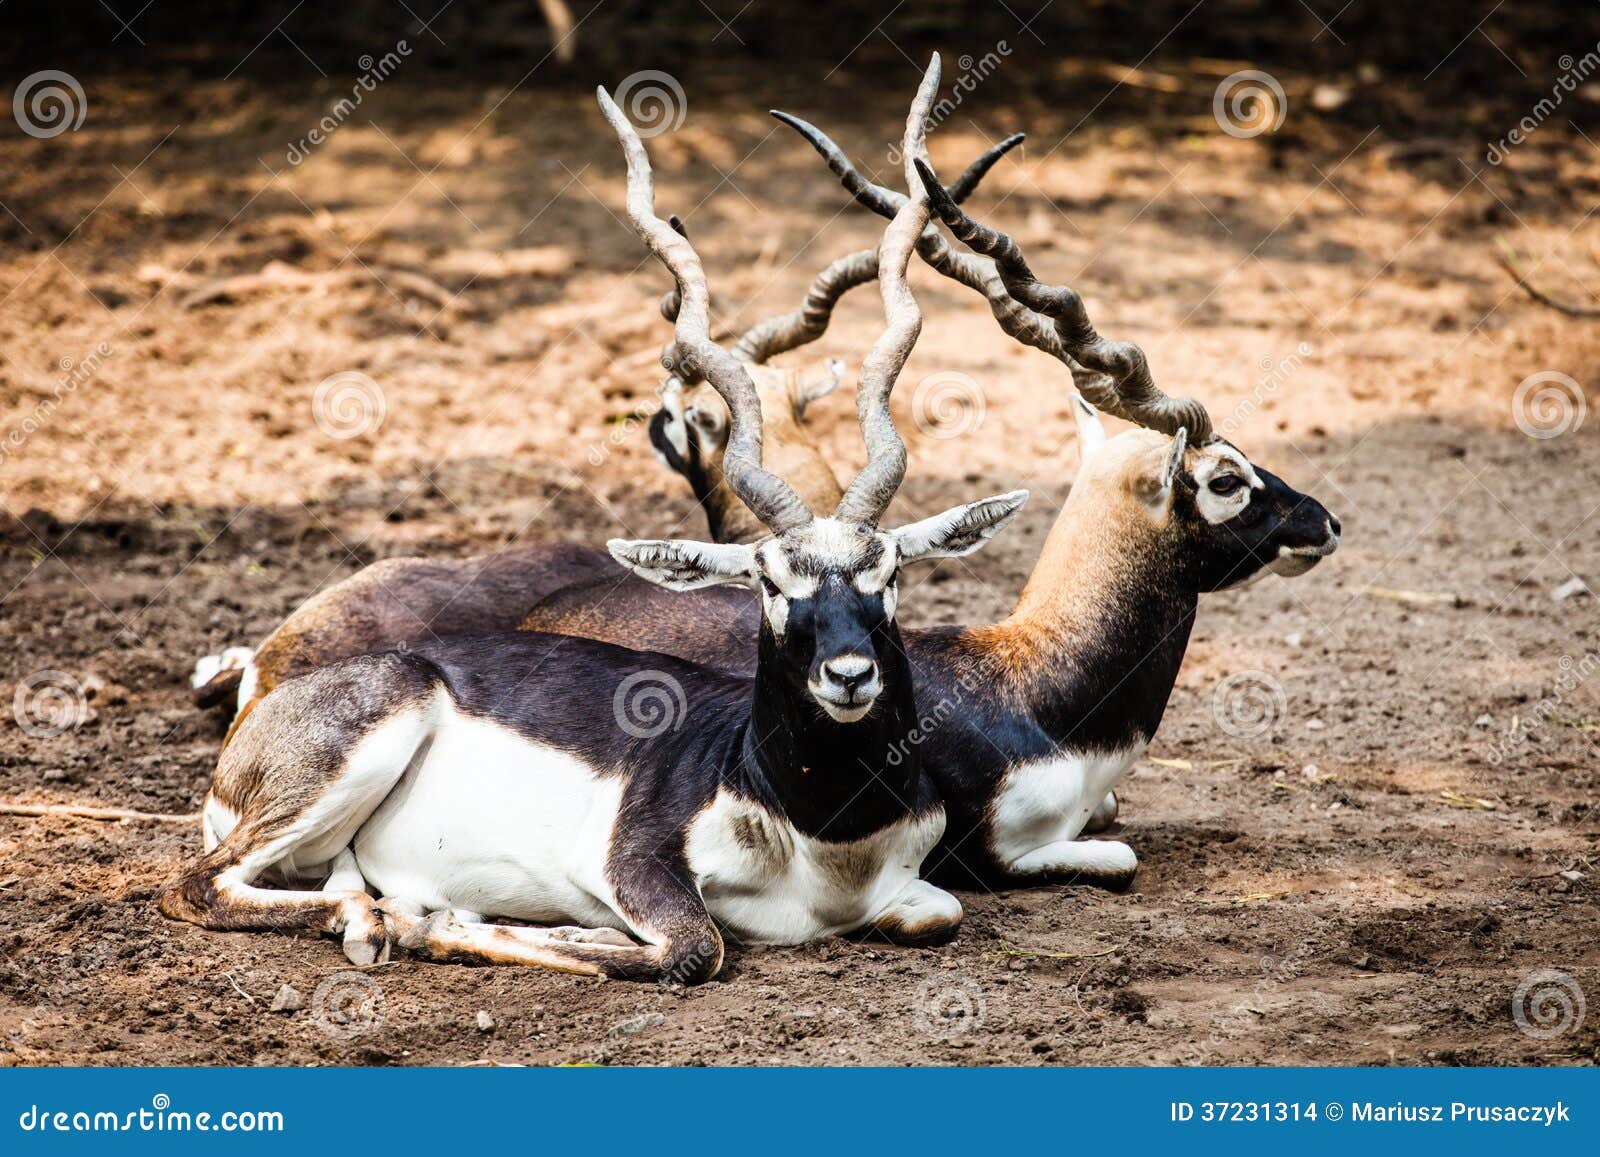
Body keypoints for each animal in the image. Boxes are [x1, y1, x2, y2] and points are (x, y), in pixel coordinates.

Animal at [161, 60, 1031, 980]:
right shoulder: (632, 859)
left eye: (888, 571)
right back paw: (377, 920)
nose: (850, 674)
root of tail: (268, 700)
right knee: (197, 884)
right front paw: (457, 923)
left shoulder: (914, 892)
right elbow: (693, 946)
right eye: (768, 581)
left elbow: (937, 914)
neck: (819, 828)